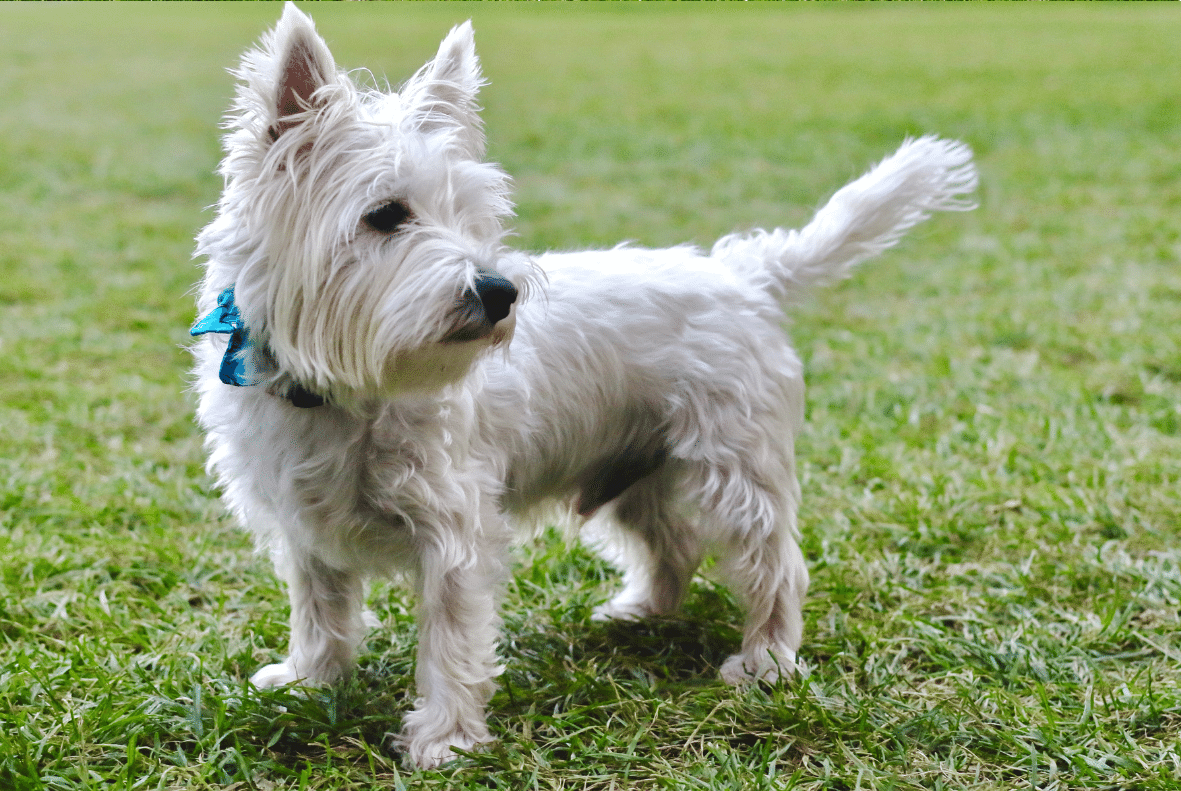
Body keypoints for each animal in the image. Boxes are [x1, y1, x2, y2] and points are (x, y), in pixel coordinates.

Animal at [188, 4, 973, 769]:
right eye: (386, 215)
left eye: (472, 218)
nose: (499, 291)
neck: (344, 390)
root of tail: (745, 272)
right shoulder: (304, 527)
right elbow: (320, 611)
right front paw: (310, 682)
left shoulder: (456, 531)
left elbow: (450, 640)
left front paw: (444, 738)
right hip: (634, 475)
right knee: (675, 546)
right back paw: (641, 611)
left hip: (734, 472)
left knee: (776, 566)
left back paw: (766, 661)